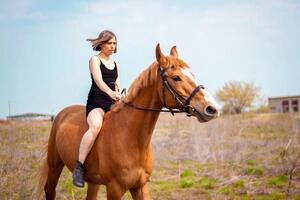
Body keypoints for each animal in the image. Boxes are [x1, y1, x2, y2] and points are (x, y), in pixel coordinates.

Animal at [36, 44, 219, 200]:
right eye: (176, 78)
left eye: (192, 75)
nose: (212, 109)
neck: (130, 137)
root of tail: (63, 113)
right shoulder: (114, 189)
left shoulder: (141, 186)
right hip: (54, 166)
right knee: (49, 190)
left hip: (93, 181)